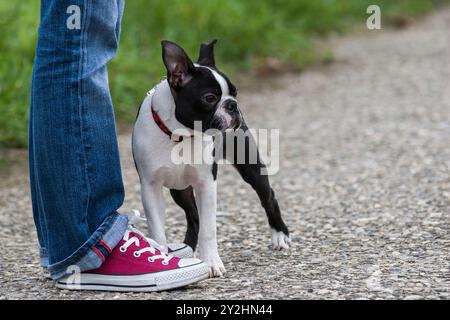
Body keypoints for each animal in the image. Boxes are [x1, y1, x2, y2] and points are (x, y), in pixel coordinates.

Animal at [132, 38, 290, 276]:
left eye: (235, 92)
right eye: (210, 98)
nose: (233, 105)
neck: (180, 135)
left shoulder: (206, 184)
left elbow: (209, 228)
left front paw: (212, 263)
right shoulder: (151, 188)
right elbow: (158, 230)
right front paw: (163, 256)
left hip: (249, 165)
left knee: (268, 196)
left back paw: (280, 235)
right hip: (179, 189)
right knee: (193, 216)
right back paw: (187, 248)